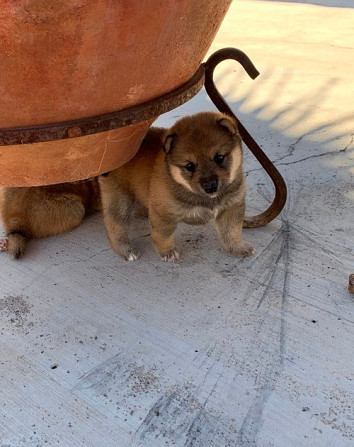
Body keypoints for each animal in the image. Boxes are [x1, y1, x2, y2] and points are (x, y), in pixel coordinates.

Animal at [99, 111, 254, 262]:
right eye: (189, 166)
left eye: (219, 158)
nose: (210, 187)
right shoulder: (163, 213)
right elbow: (162, 236)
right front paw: (167, 252)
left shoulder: (232, 207)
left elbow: (232, 231)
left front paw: (238, 247)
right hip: (120, 200)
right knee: (114, 223)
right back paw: (127, 250)